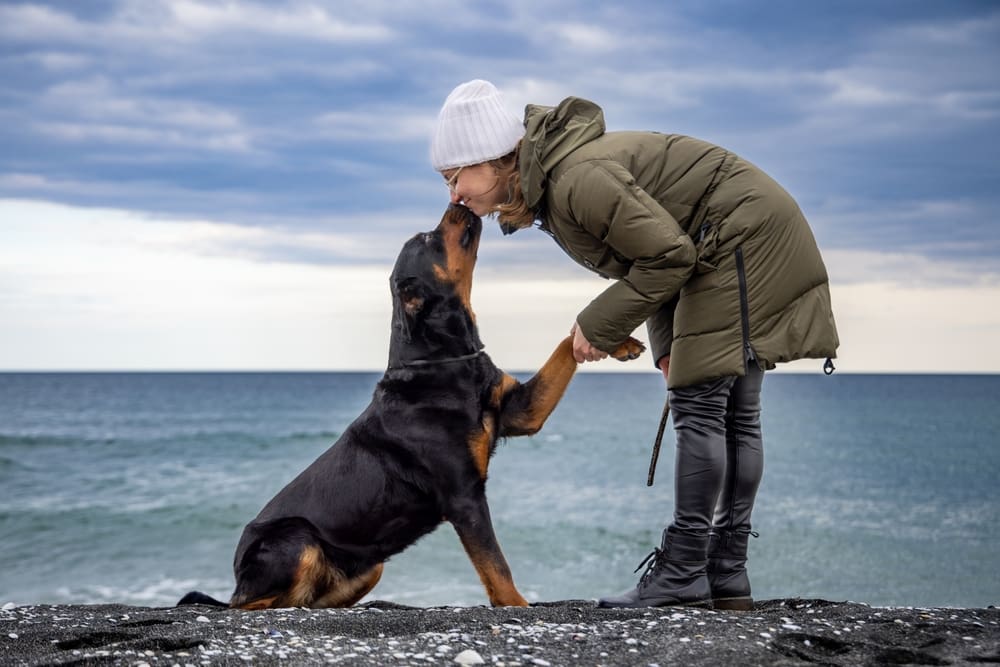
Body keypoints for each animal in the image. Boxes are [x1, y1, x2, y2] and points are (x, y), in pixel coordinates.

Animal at [178, 205, 648, 612]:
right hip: (297, 540)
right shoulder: (464, 496)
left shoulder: (521, 410)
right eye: (427, 238)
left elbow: (565, 345)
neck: (443, 359)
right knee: (253, 605)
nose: (458, 204)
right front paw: (517, 605)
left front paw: (618, 342)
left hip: (369, 567)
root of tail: (238, 577)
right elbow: (496, 565)